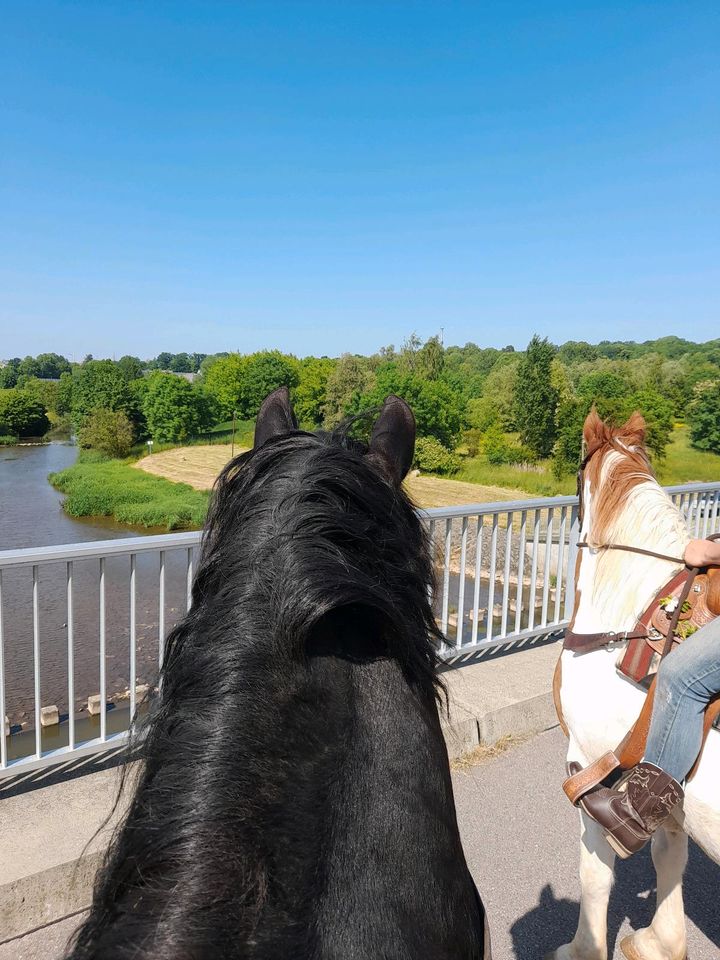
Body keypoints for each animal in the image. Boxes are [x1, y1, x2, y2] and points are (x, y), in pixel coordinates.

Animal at [556, 412, 716, 960]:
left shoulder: (589, 765)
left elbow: (594, 875)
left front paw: (582, 948)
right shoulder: (672, 788)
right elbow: (670, 853)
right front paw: (661, 941)